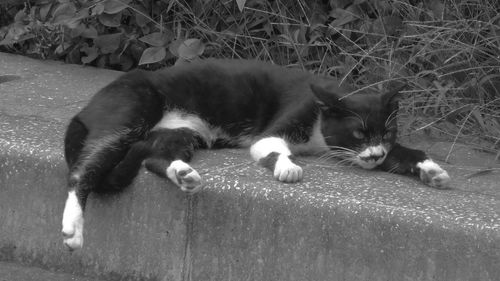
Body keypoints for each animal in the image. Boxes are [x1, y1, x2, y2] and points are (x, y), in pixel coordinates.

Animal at [60, 58, 452, 249]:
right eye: (358, 132)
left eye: (386, 131)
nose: (372, 155)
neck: (319, 131)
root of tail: (89, 105)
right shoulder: (281, 123)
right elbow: (270, 147)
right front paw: (288, 168)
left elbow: (404, 152)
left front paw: (431, 170)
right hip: (131, 112)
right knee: (83, 169)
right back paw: (73, 227)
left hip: (182, 131)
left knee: (153, 157)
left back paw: (184, 173)